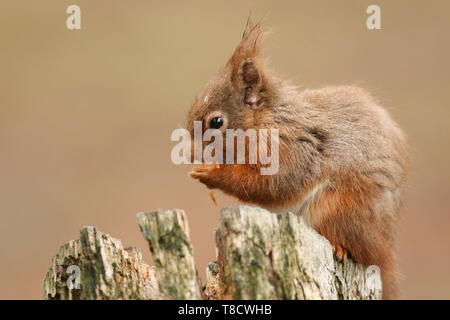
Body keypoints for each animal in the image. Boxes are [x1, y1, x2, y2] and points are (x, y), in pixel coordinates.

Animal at [185, 20, 408, 300]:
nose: (188, 153)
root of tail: (385, 248)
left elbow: (273, 184)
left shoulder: (293, 148)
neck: (266, 121)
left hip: (339, 206)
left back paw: (340, 247)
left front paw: (212, 173)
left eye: (216, 122)